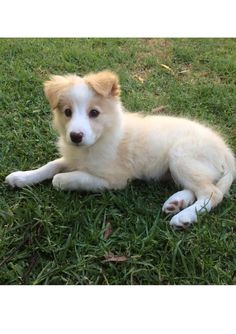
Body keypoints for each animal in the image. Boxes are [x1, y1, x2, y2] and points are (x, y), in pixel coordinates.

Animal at [5, 70, 234, 227]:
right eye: (68, 112)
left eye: (94, 113)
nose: (76, 136)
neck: (98, 140)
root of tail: (228, 154)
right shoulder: (72, 157)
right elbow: (51, 166)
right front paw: (22, 177)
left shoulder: (114, 180)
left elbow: (60, 178)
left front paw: (60, 180)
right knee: (197, 188)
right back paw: (176, 202)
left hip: (182, 156)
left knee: (212, 193)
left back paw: (185, 216)